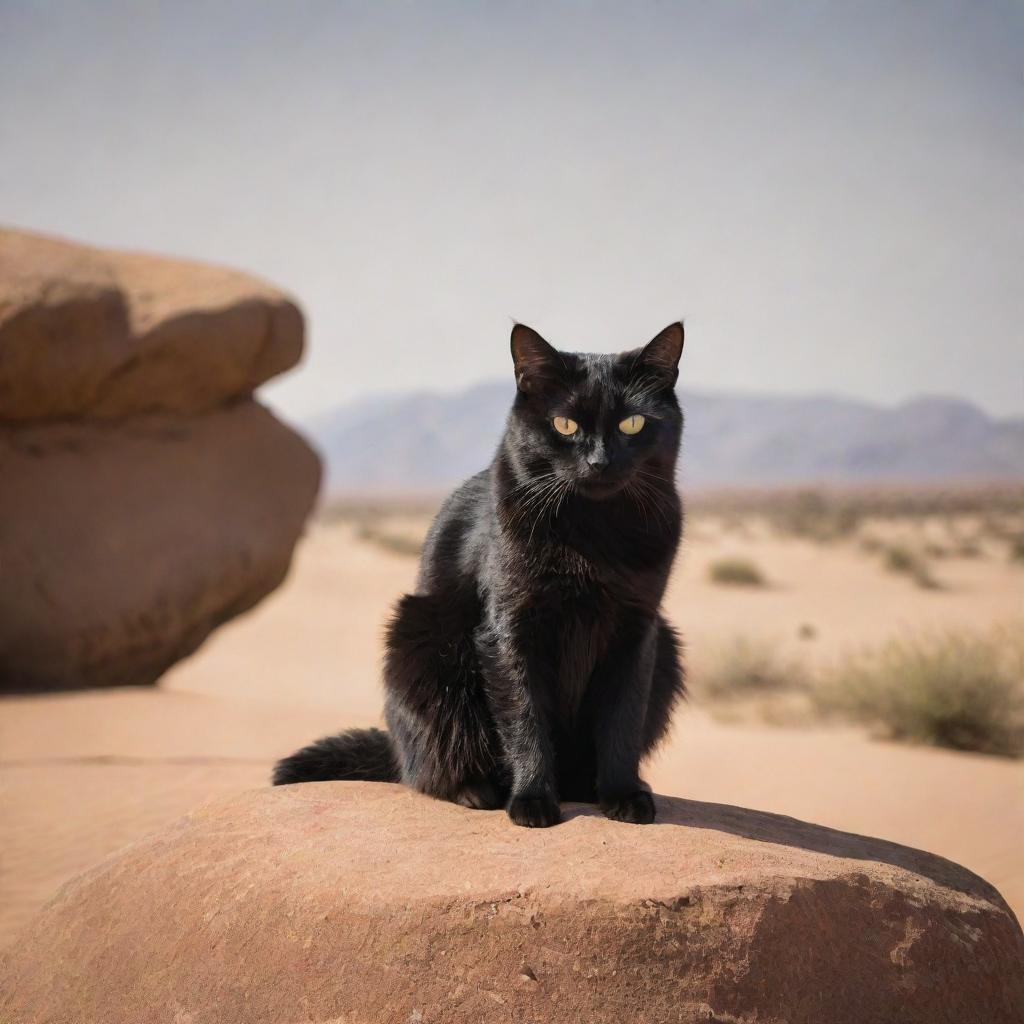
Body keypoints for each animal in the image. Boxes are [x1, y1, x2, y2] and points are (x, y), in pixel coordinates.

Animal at [276, 323, 684, 827]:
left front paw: (622, 793)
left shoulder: (638, 629)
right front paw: (532, 799)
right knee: (429, 763)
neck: (594, 533)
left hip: (668, 646)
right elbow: (523, 714)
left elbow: (623, 717)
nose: (599, 462)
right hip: (420, 638)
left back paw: (584, 785)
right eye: (565, 425)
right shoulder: (509, 626)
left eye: (633, 424)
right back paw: (475, 790)